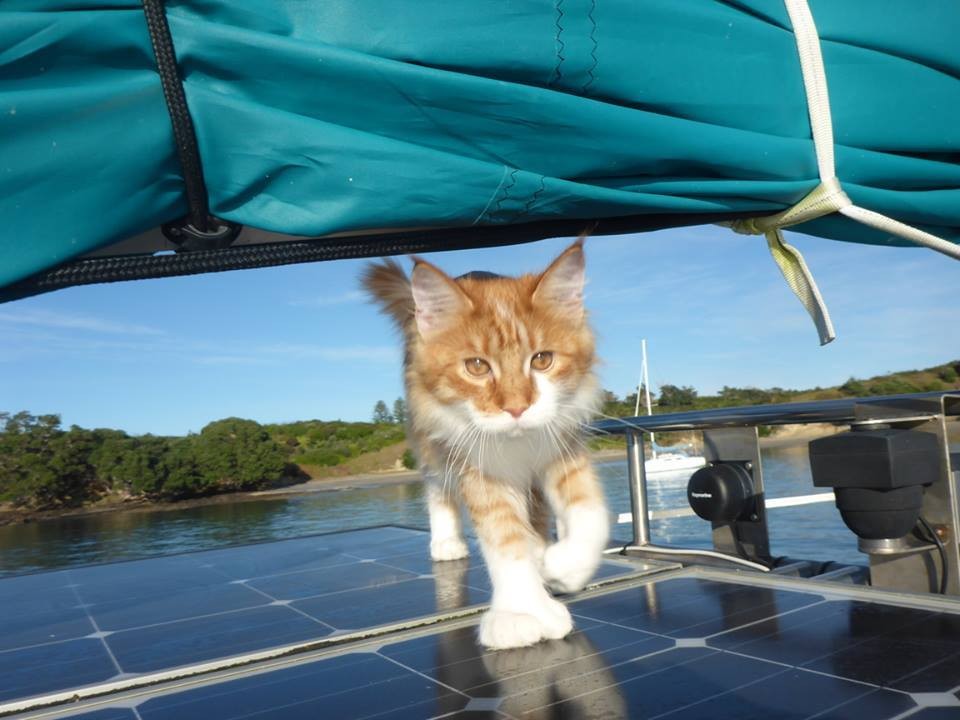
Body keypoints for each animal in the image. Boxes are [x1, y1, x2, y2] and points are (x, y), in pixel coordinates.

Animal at [360, 239, 608, 648]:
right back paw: (447, 542)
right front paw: (521, 613)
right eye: (476, 366)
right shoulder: (476, 464)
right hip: (430, 441)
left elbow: (591, 512)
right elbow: (504, 536)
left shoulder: (562, 444)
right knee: (436, 488)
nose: (517, 407)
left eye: (542, 360)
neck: (517, 443)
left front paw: (564, 566)